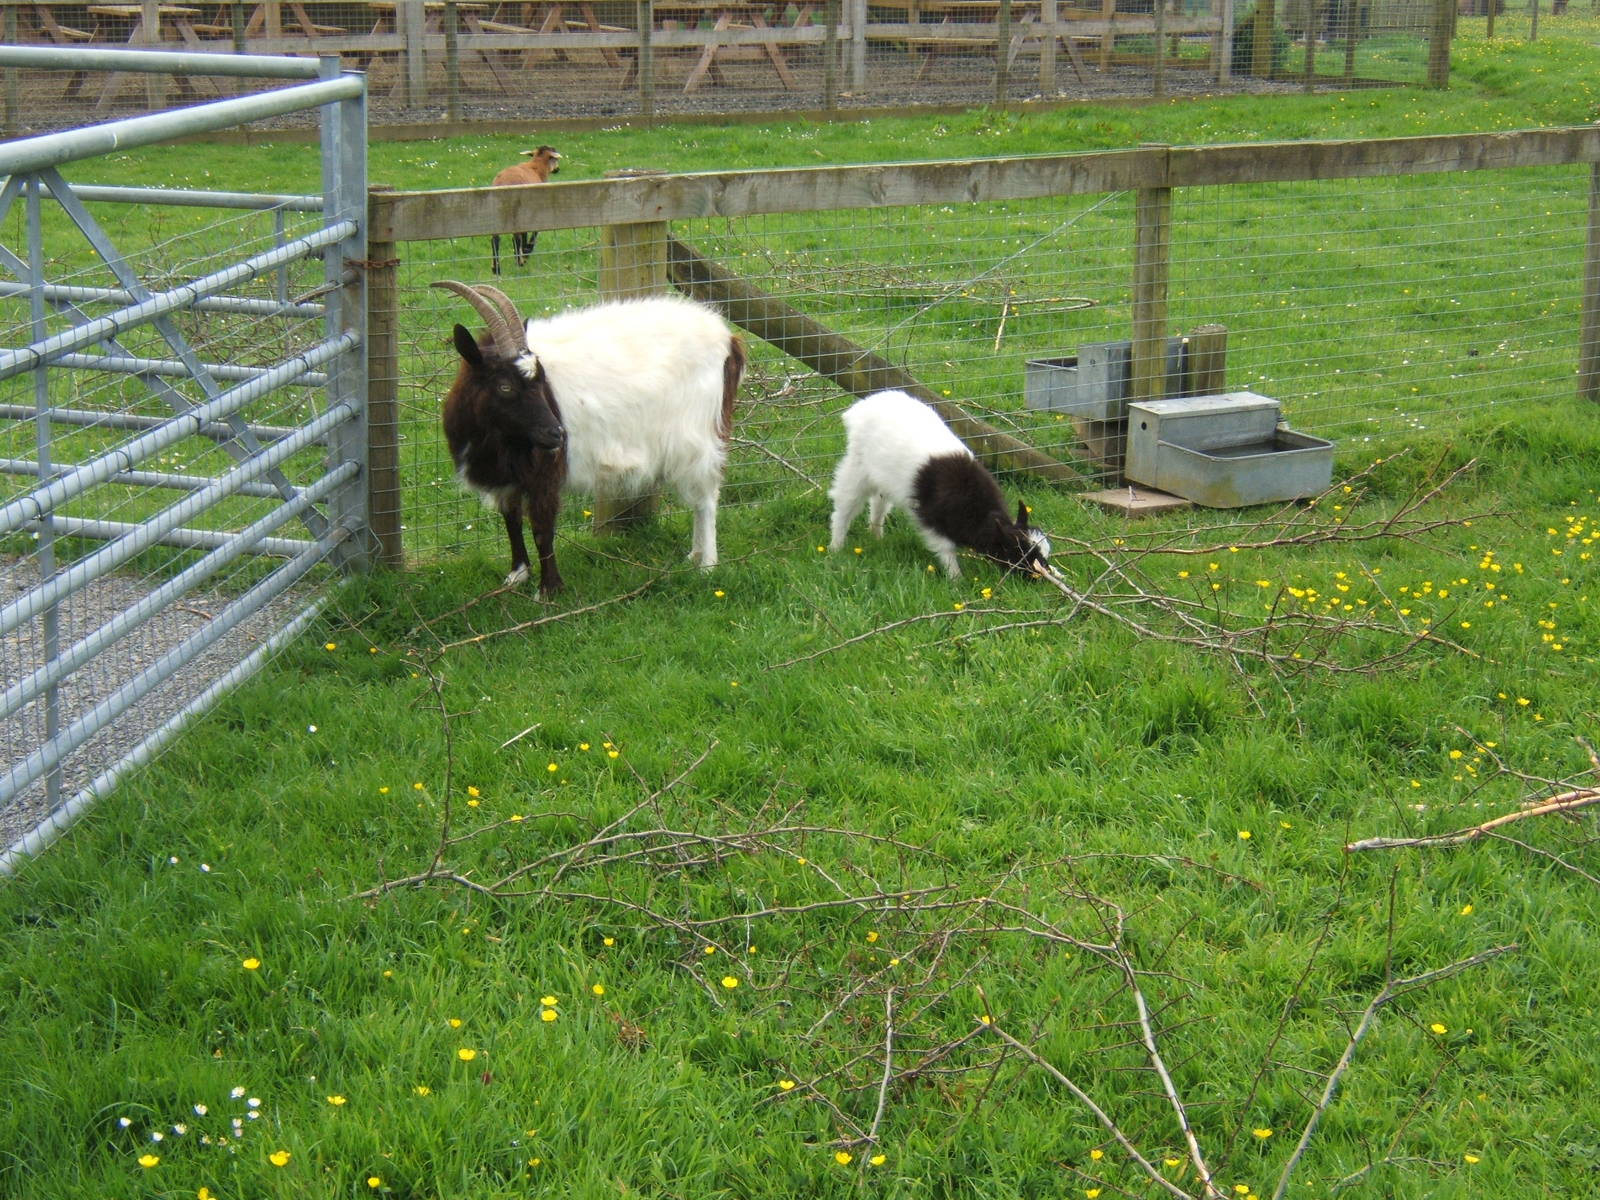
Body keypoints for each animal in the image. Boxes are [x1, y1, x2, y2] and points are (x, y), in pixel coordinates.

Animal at [434, 280, 745, 595]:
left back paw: (706, 564)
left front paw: (550, 589)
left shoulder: (545, 471)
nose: (557, 433)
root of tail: (727, 339)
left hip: (698, 434)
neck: (497, 440)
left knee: (706, 497)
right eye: (505, 386)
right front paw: (517, 575)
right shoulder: (506, 479)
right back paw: (693, 555)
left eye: (540, 381)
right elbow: (511, 521)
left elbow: (542, 527)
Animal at [489, 145, 560, 276]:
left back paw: (496, 269)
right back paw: (519, 262)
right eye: (555, 159)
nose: (557, 169)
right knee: (515, 237)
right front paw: (527, 250)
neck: (536, 167)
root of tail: (502, 184)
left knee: (495, 239)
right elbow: (533, 231)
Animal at [827, 389, 1052, 579]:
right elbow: (945, 548)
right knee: (845, 504)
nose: (1042, 576)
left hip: (883, 477)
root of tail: (862, 407)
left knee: (879, 504)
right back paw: (836, 546)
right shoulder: (931, 518)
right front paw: (956, 578)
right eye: (1018, 552)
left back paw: (876, 536)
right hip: (857, 467)